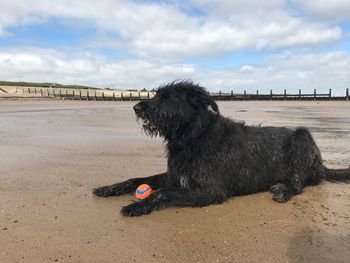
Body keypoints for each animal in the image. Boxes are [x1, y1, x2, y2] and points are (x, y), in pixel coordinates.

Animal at [93, 81, 350, 218]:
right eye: (157, 94)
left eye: (167, 97)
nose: (136, 107)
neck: (194, 136)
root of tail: (321, 164)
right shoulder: (174, 175)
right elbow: (138, 179)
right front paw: (109, 188)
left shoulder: (209, 190)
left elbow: (162, 192)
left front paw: (138, 205)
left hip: (302, 138)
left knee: (299, 182)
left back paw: (284, 189)